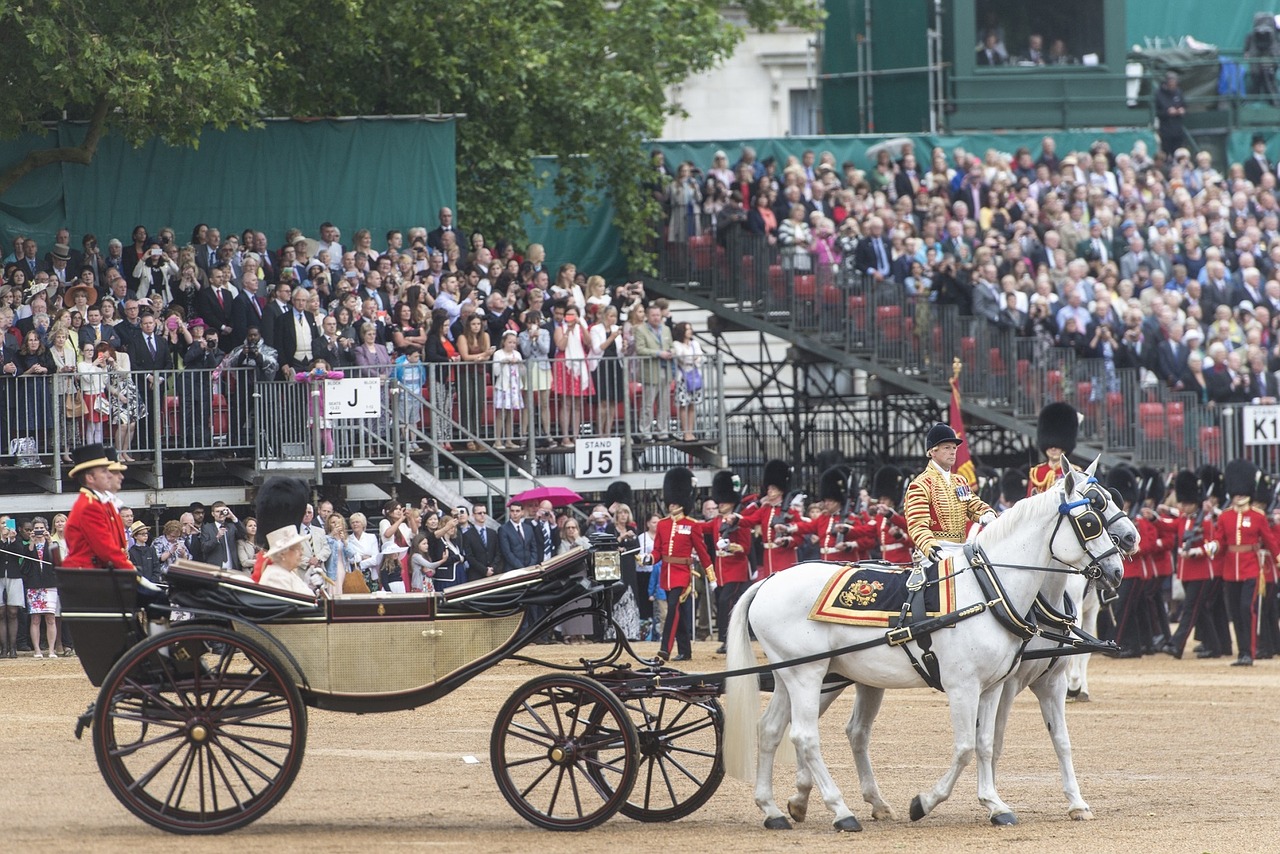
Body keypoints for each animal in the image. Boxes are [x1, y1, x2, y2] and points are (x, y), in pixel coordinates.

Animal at [727, 463, 1126, 829]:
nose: (1118, 569)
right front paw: (925, 802)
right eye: (1091, 519)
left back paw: (777, 809)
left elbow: (990, 743)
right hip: (809, 675)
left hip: (804, 677)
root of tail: (769, 581)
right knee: (805, 736)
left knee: (776, 730)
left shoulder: (998, 686)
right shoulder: (965, 686)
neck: (990, 589)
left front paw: (997, 804)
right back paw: (839, 810)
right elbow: (966, 747)